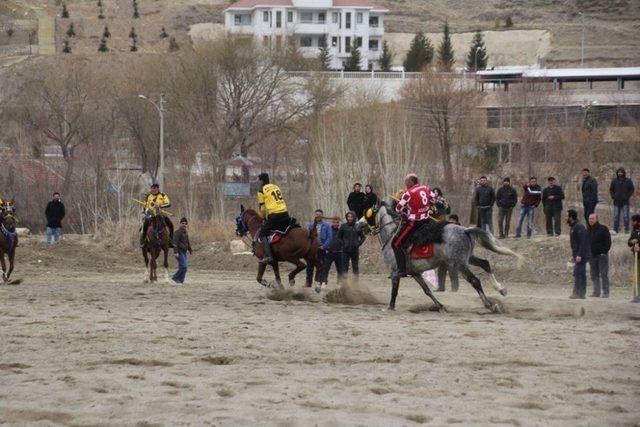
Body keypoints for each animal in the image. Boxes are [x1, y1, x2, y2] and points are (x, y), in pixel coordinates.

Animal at [358, 202, 524, 312]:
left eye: (368, 213)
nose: (358, 225)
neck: (392, 233)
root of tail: (465, 230)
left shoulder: (394, 272)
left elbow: (394, 290)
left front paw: (390, 306)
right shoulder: (416, 273)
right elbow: (427, 290)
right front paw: (440, 306)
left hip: (460, 264)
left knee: (475, 280)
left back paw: (490, 304)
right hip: (468, 258)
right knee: (485, 264)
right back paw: (500, 288)